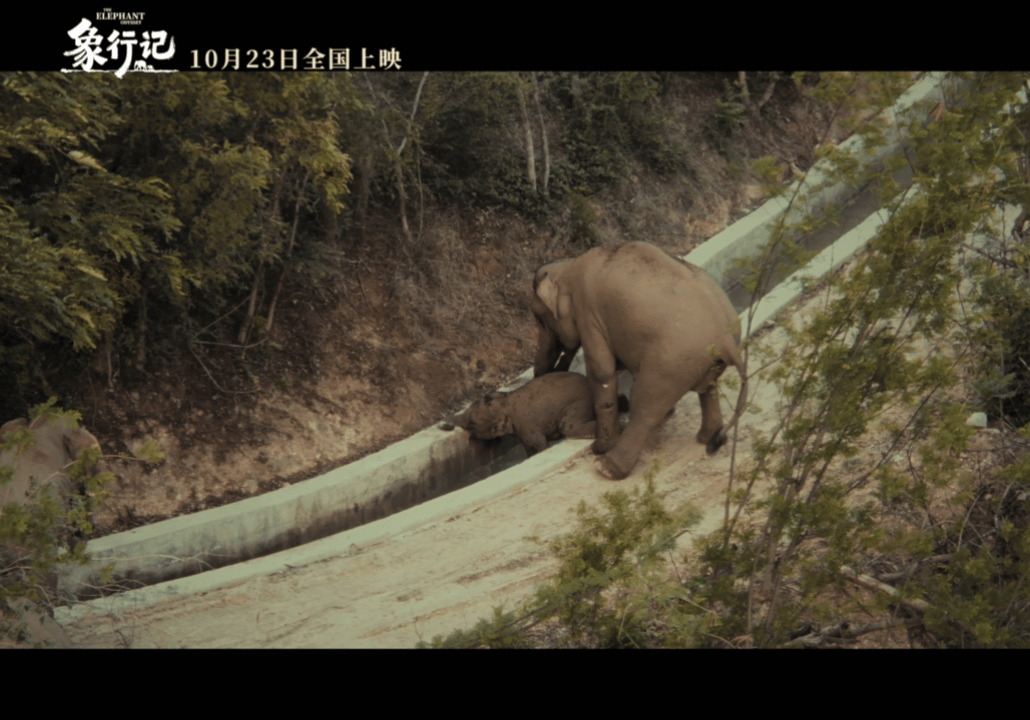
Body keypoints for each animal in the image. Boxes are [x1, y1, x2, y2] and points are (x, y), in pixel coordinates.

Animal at [440, 372, 629, 457]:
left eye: (472, 423)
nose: (444, 425)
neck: (504, 399)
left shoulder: (525, 424)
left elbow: (541, 445)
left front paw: (543, 451)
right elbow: (529, 450)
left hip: (581, 403)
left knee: (568, 427)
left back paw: (622, 421)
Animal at [532, 240, 746, 480]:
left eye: (539, 319)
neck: (570, 265)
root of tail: (725, 338)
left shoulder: (587, 312)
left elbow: (602, 371)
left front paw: (599, 448)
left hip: (670, 365)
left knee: (644, 406)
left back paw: (607, 467)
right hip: (701, 360)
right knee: (708, 389)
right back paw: (706, 437)